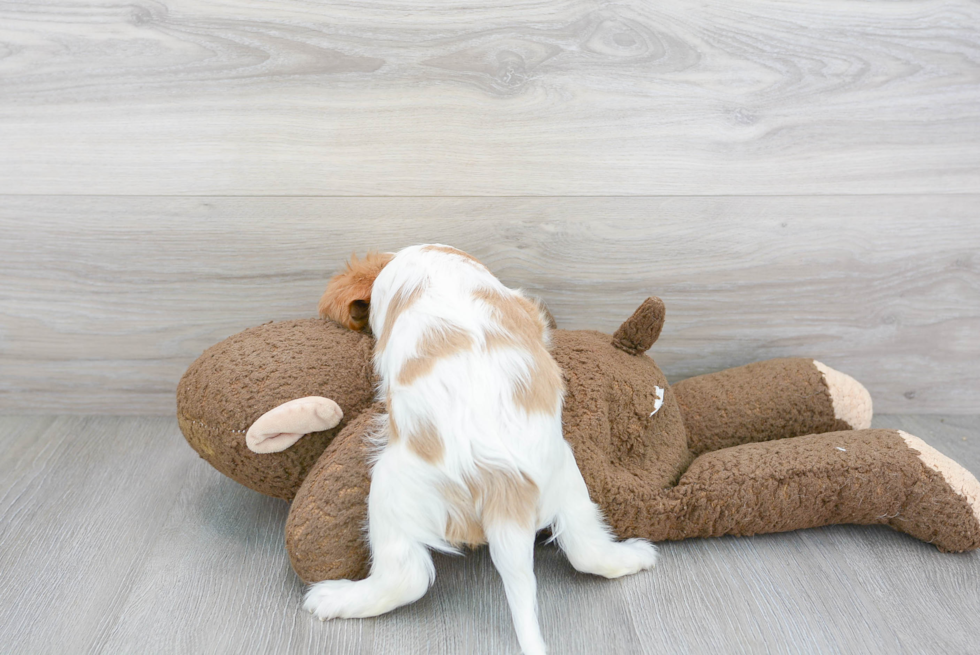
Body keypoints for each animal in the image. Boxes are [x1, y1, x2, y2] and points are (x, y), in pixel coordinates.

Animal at [310, 243, 656, 652]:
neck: (426, 257)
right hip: (568, 476)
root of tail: (502, 482)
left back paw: (335, 598)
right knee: (586, 546)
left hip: (389, 489)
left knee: (406, 577)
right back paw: (634, 556)